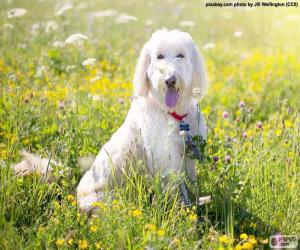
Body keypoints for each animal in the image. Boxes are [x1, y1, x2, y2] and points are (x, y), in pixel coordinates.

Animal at [12, 29, 209, 213]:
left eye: (181, 55)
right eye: (159, 56)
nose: (170, 80)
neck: (172, 113)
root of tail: (75, 192)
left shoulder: (187, 156)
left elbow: (189, 182)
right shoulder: (167, 161)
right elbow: (177, 190)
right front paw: (183, 212)